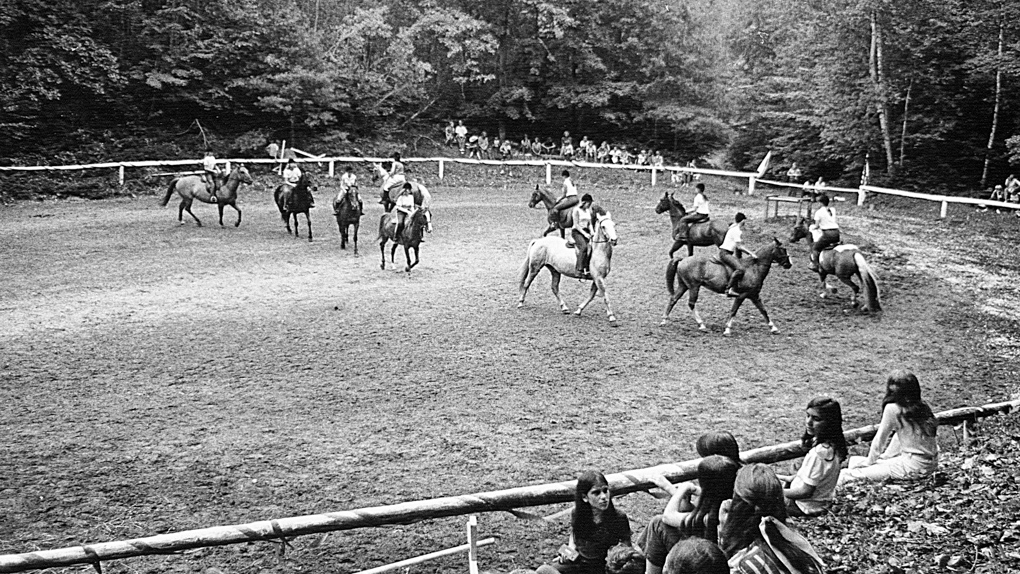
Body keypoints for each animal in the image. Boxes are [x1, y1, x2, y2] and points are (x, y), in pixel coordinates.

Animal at [660, 239, 795, 336]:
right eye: (783, 249)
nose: (789, 264)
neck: (754, 268)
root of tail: (683, 259)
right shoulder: (742, 296)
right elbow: (733, 311)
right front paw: (727, 330)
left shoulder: (754, 295)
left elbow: (763, 310)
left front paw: (774, 328)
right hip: (694, 286)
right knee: (691, 303)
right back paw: (701, 325)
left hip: (683, 285)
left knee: (673, 299)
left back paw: (664, 320)